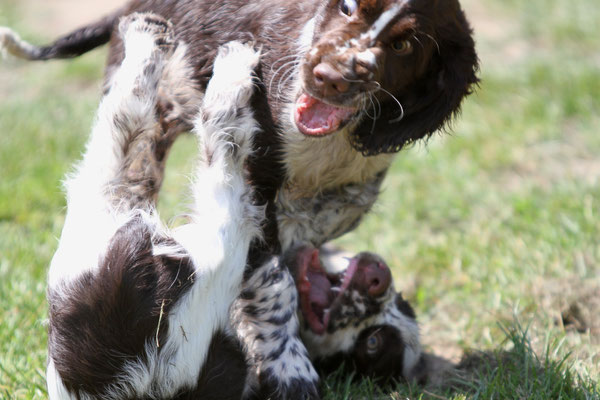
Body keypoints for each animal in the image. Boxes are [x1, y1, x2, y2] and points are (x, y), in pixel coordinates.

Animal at [1, 0, 478, 396]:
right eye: (399, 304)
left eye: (374, 342)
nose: (378, 275)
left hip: (122, 225)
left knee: (149, 123)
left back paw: (184, 48)